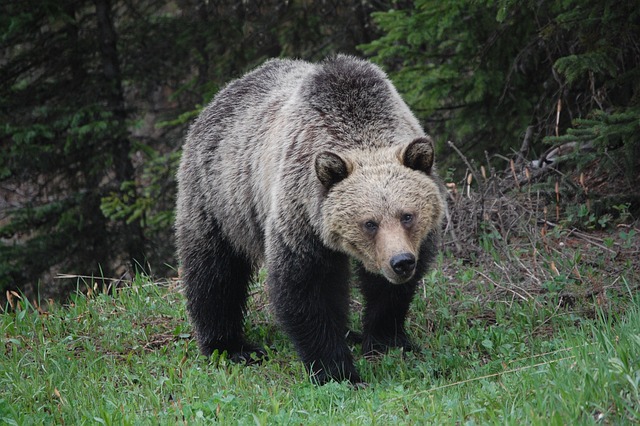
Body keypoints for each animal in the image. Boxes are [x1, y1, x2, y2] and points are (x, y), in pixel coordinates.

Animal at [175, 54, 444, 386]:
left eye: (407, 215)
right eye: (369, 223)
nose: (401, 262)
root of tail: (222, 93)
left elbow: (389, 293)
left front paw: (387, 339)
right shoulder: (301, 216)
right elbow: (307, 289)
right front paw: (338, 371)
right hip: (219, 196)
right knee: (215, 271)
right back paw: (230, 346)